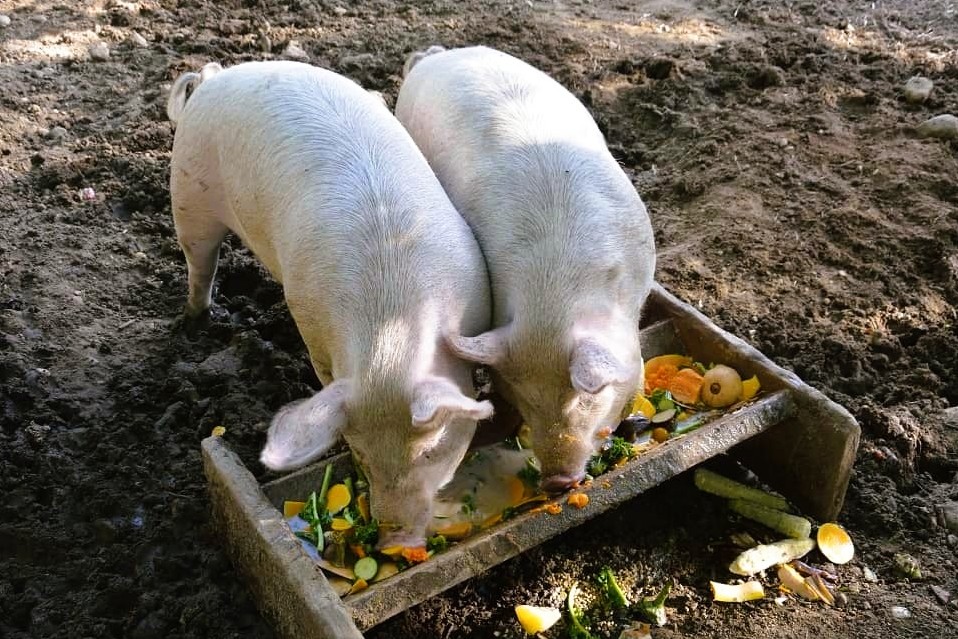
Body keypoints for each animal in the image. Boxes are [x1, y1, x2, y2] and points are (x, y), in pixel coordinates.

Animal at [166, 60, 493, 547]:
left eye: (431, 449)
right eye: (359, 449)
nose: (394, 541)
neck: (391, 330)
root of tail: (213, 78)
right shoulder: (312, 330)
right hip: (188, 194)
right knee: (198, 264)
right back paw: (196, 321)